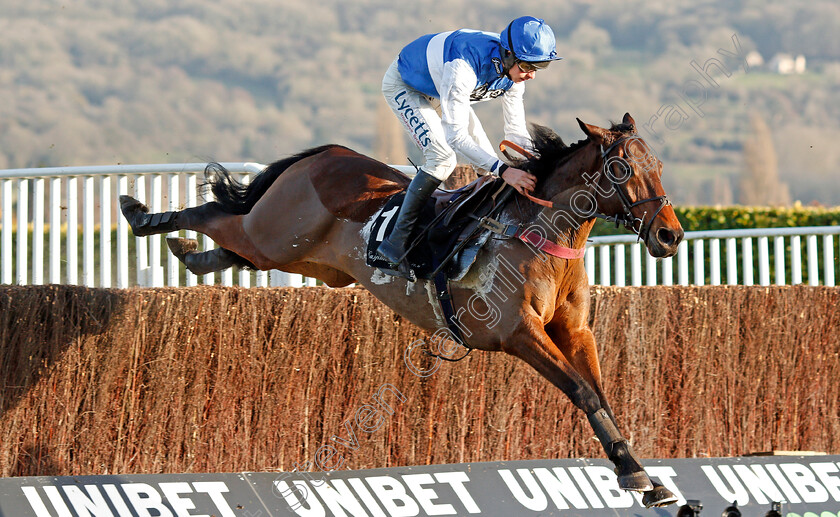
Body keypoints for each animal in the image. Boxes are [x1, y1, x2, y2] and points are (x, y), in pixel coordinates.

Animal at [120, 114, 684, 508]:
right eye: (623, 169)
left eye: (658, 167)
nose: (670, 236)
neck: (538, 234)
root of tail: (324, 155)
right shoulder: (518, 333)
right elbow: (583, 392)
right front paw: (636, 474)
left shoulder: (576, 332)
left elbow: (600, 395)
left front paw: (645, 477)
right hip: (274, 234)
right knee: (216, 214)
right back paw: (143, 216)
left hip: (305, 259)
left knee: (231, 244)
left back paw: (190, 253)